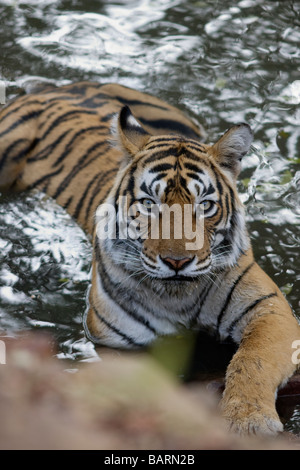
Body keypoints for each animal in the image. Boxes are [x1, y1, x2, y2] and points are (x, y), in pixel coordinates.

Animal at [0, 81, 298, 436]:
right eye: (147, 204)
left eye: (205, 205)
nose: (177, 261)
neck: (179, 298)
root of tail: (62, 87)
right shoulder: (116, 343)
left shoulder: (269, 309)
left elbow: (253, 359)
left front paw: (248, 420)